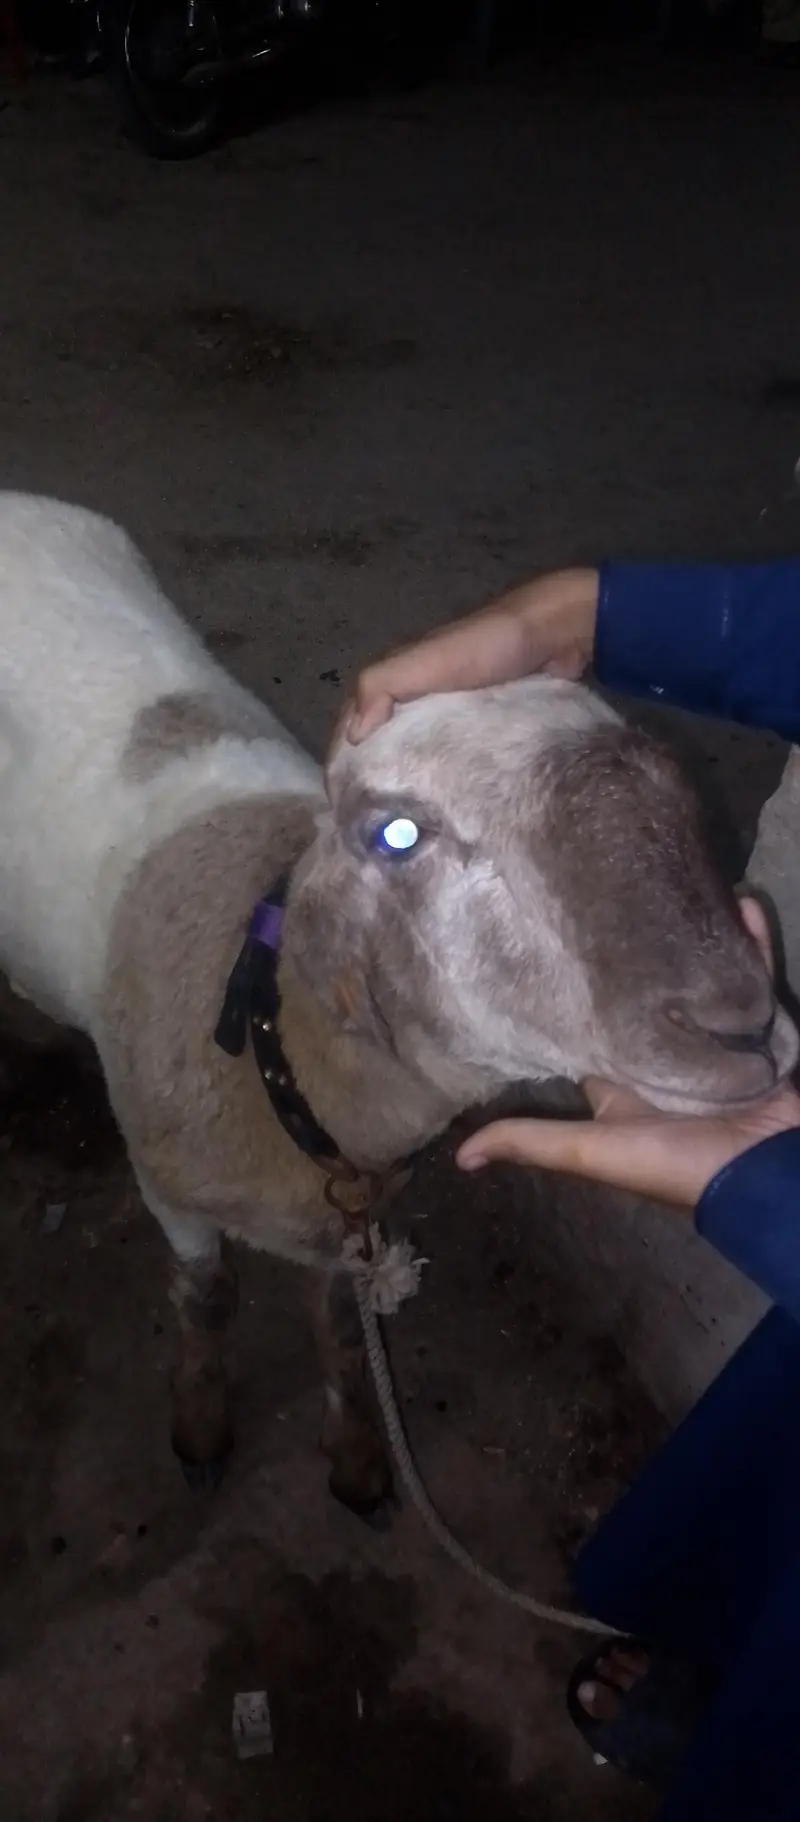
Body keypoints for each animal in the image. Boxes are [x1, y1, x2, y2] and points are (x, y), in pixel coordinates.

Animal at [0, 492, 795, 1520]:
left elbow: (341, 1325)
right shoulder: (168, 1189)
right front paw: (203, 1425)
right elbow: (205, 1299)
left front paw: (355, 1457)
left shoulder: (357, 1213)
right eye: (397, 836)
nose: (741, 1023)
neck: (281, 1054)